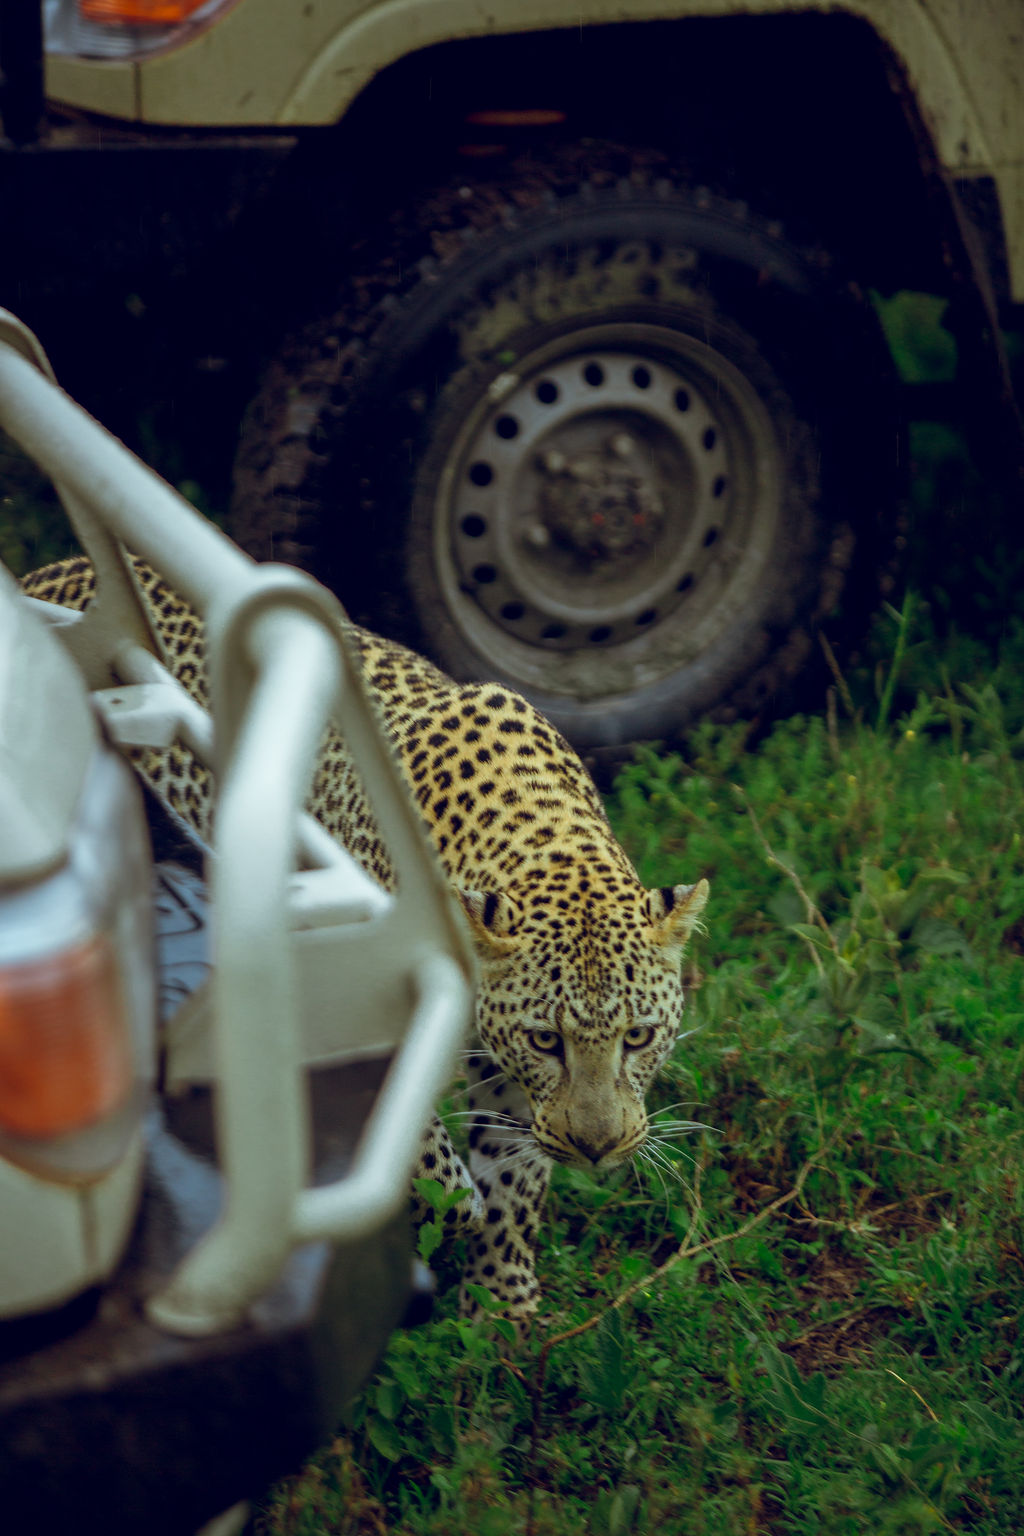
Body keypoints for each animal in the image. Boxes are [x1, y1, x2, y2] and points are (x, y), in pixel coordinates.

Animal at [22, 554, 709, 1326]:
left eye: (639, 1036)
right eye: (546, 1041)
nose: (598, 1148)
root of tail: (53, 569)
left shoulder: (504, 1077)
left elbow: (514, 1170)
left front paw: (501, 1302)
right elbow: (411, 1143)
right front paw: (452, 1206)